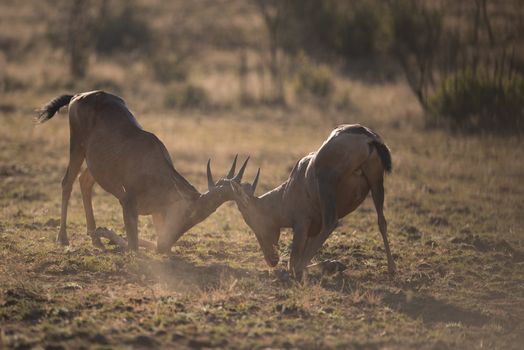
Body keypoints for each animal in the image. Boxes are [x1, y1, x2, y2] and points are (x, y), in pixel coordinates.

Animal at [36, 91, 250, 252]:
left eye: (200, 218)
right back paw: (63, 238)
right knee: (67, 181)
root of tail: (78, 96)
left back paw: (95, 240)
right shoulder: (127, 202)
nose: (165, 244)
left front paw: (101, 234)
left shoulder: (156, 212)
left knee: (84, 181)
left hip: (95, 163)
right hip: (76, 146)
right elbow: (134, 247)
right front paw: (105, 233)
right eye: (189, 212)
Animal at [228, 124, 392, 280]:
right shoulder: (312, 230)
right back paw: (392, 269)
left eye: (250, 218)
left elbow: (292, 263)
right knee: (382, 221)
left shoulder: (302, 224)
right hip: (376, 183)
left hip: (326, 183)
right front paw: (334, 264)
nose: (272, 260)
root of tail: (367, 137)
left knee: (331, 223)